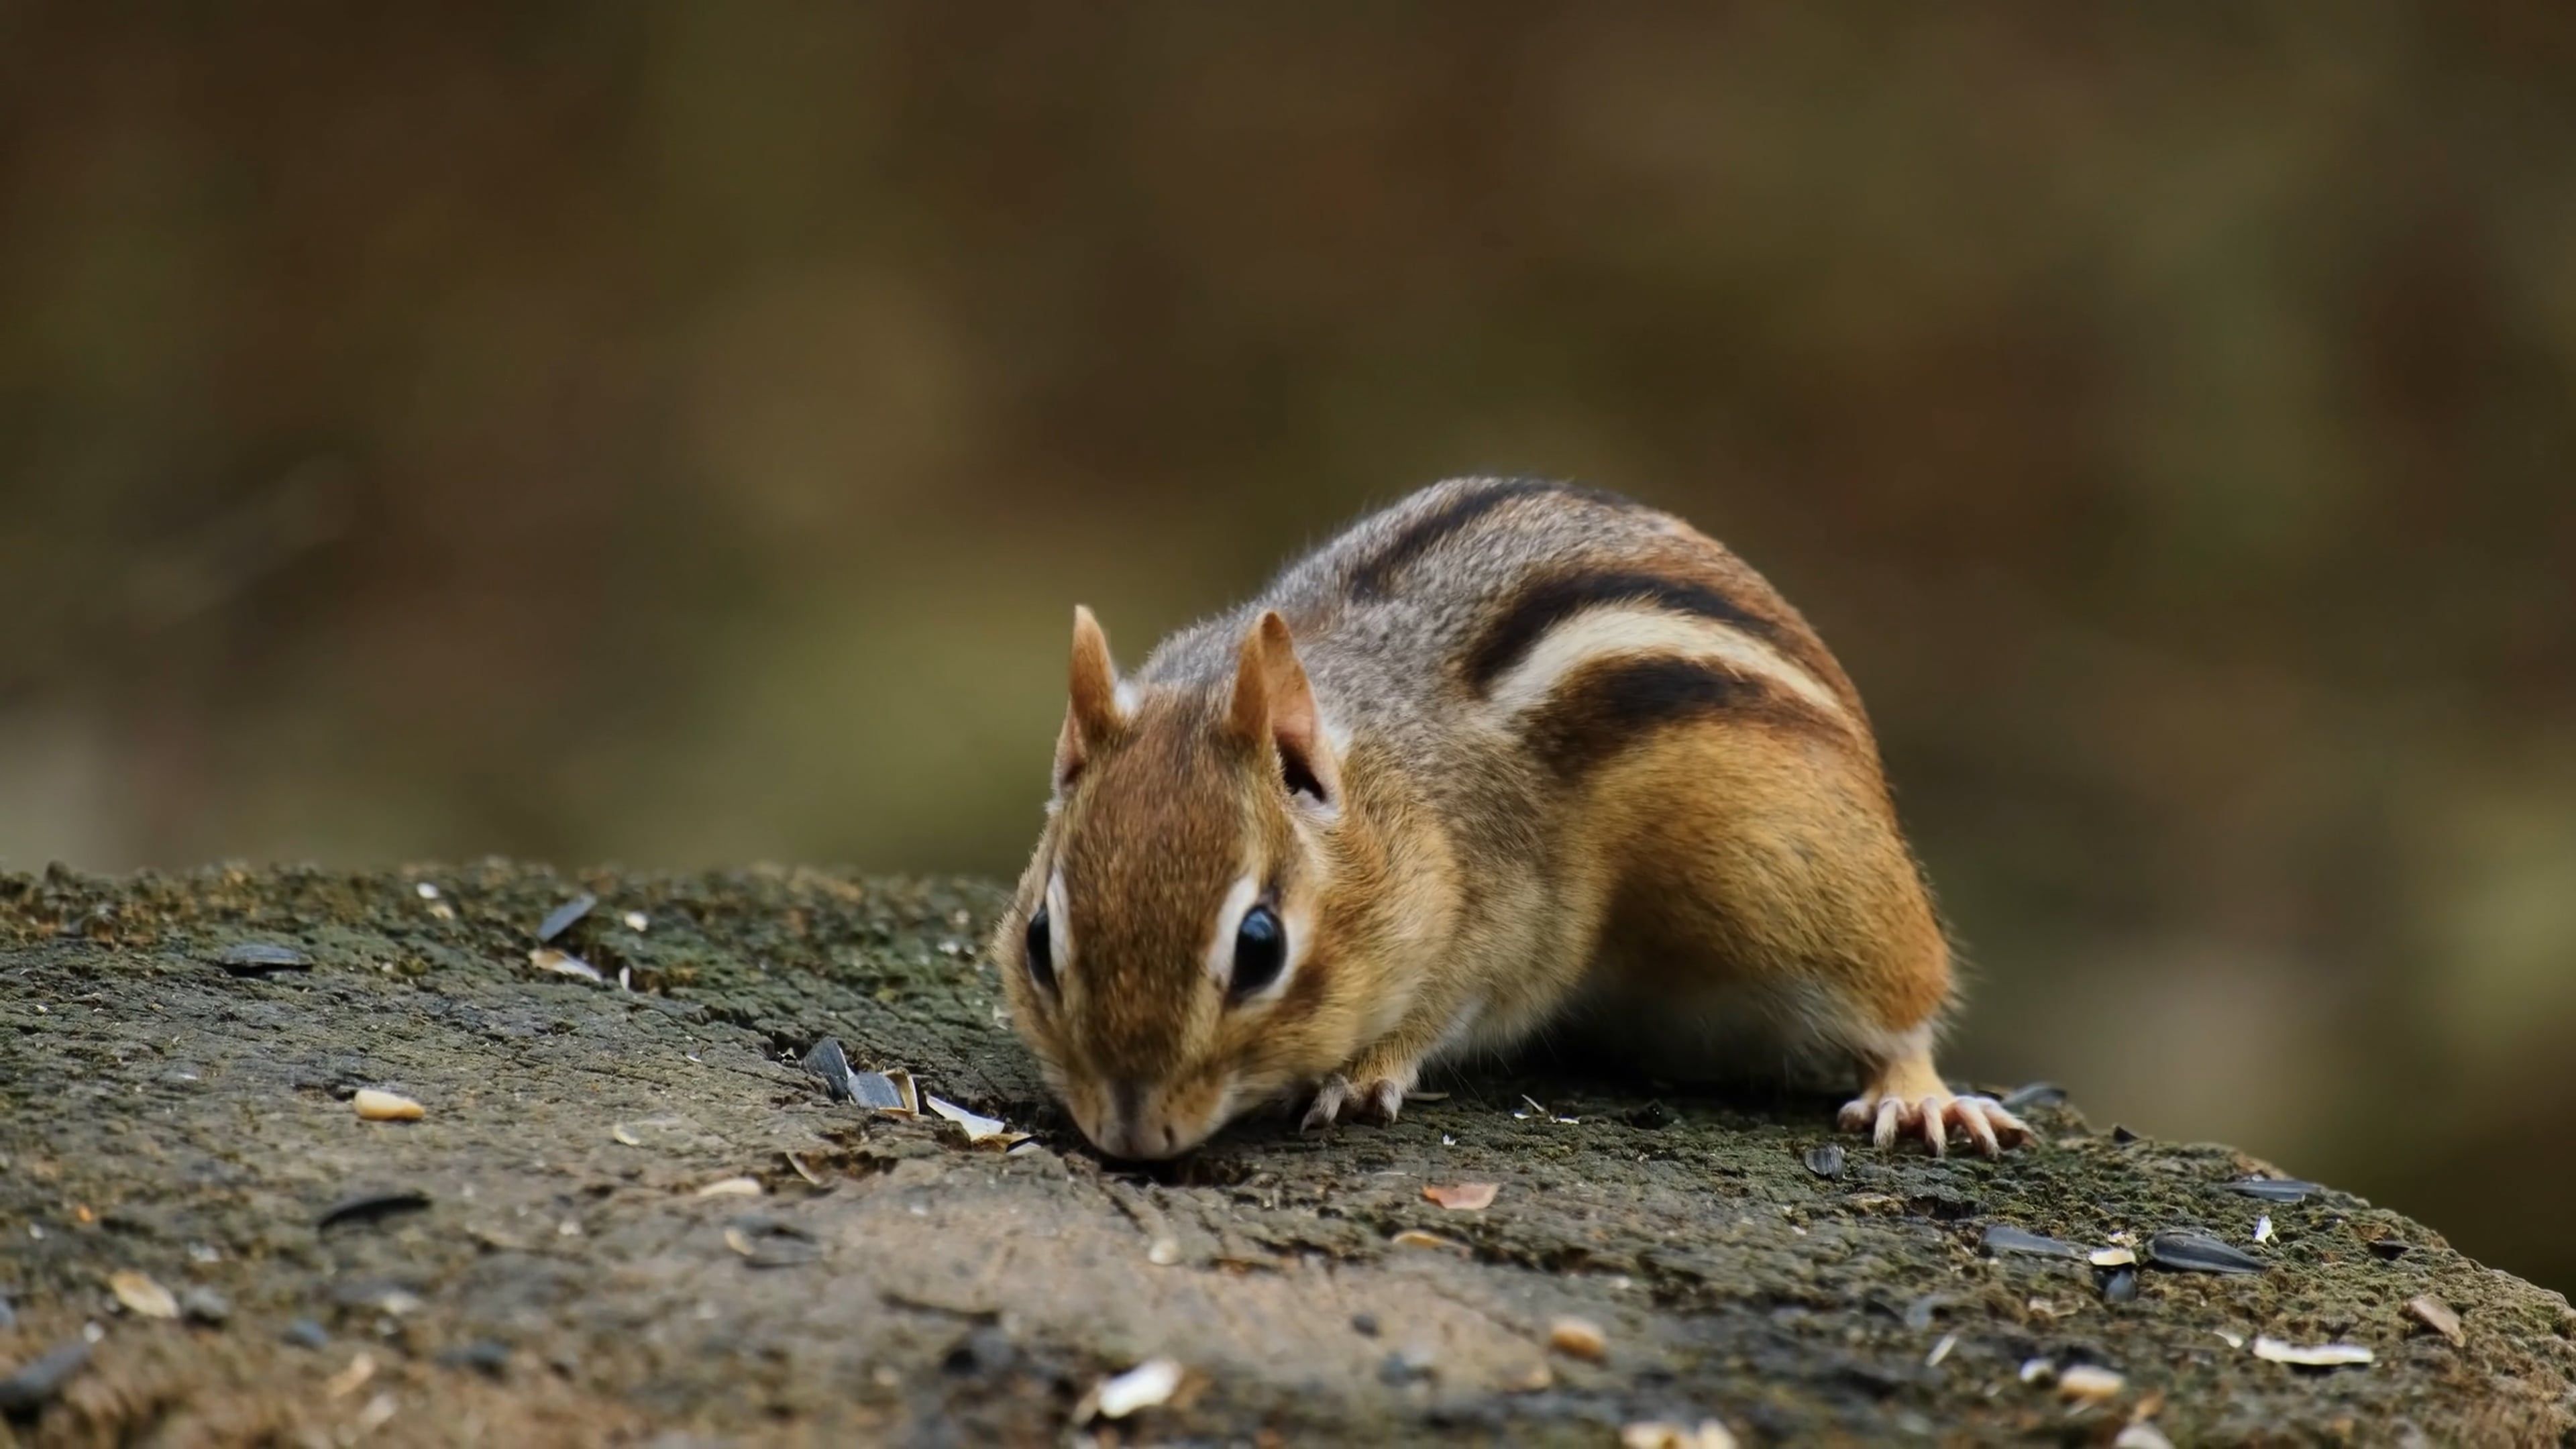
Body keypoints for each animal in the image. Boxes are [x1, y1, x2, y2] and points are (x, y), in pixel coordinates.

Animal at [993, 477, 2029, 1160]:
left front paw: (1359, 1076)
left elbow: (1445, 1007)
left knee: (1902, 1007)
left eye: (1260, 947)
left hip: (1808, 890)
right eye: (1039, 939)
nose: (1132, 1134)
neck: (1399, 791)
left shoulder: (1505, 920)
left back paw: (1920, 1097)